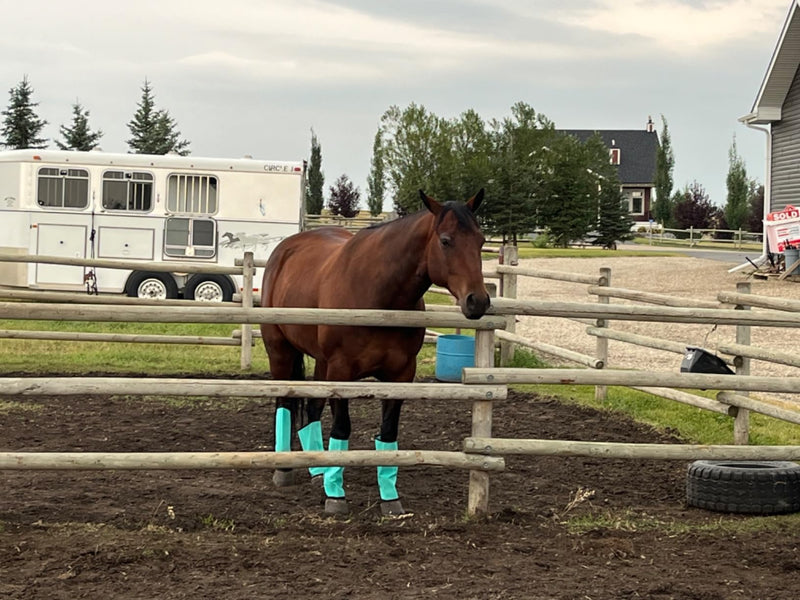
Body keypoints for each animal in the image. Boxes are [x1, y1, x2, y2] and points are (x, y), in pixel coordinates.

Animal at [260, 189, 490, 516]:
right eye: (446, 240)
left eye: (481, 241)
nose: (478, 301)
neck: (378, 295)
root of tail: (286, 248)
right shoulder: (341, 372)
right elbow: (342, 428)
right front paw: (336, 496)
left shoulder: (401, 375)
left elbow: (389, 432)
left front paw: (390, 498)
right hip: (280, 351)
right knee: (285, 404)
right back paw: (285, 470)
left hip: (321, 363)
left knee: (312, 409)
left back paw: (318, 469)